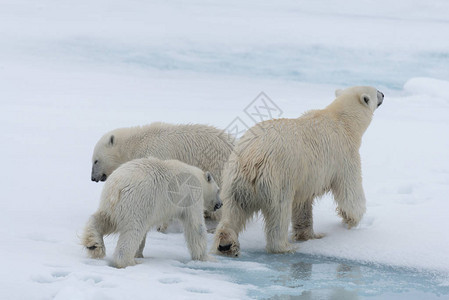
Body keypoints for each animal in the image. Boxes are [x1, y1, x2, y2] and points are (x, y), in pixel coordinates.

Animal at [213, 86, 382, 255]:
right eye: (376, 91)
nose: (383, 94)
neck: (342, 120)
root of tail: (250, 158)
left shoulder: (305, 177)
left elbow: (302, 204)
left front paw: (309, 234)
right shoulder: (344, 157)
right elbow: (350, 192)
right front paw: (353, 219)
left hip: (234, 180)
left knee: (233, 211)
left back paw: (226, 243)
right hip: (277, 179)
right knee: (278, 214)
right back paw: (284, 246)